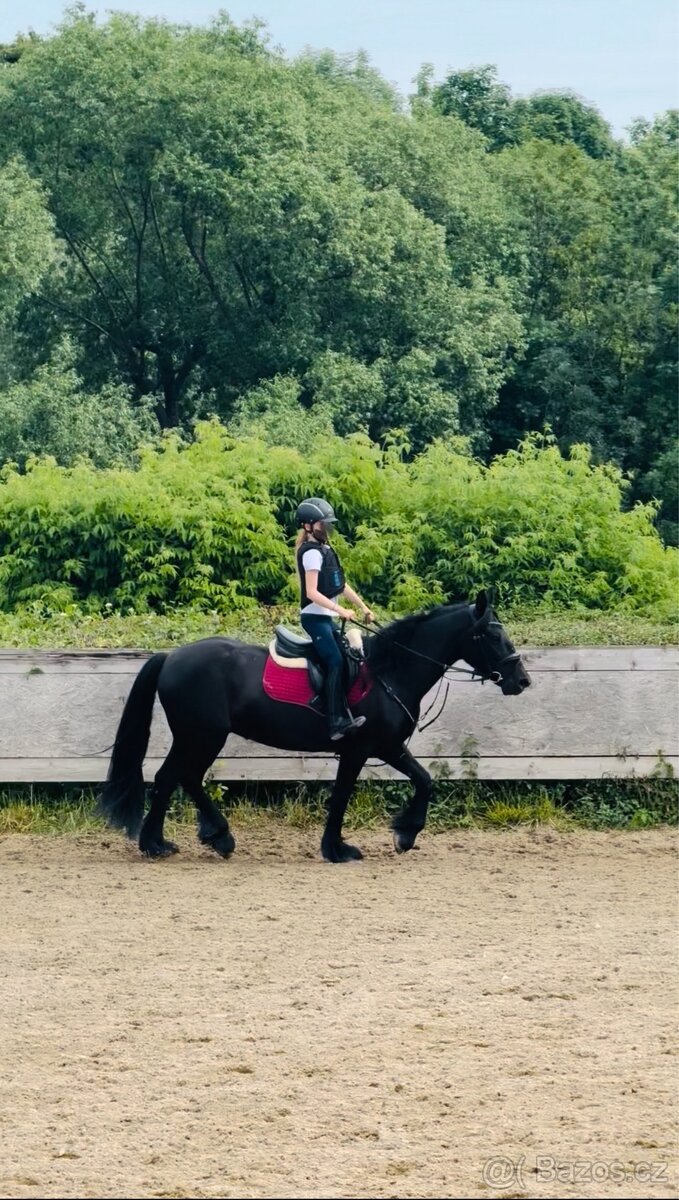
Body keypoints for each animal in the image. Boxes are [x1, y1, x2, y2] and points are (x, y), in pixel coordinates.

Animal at [97, 589, 531, 863]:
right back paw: (172, 842)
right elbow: (342, 796)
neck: (389, 671)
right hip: (202, 735)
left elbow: (423, 780)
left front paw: (405, 834)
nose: (522, 680)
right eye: (492, 634)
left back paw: (188, 839)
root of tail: (170, 657)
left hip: (198, 736)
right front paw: (338, 849)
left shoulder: (388, 747)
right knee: (176, 777)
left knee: (176, 777)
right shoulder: (361, 749)